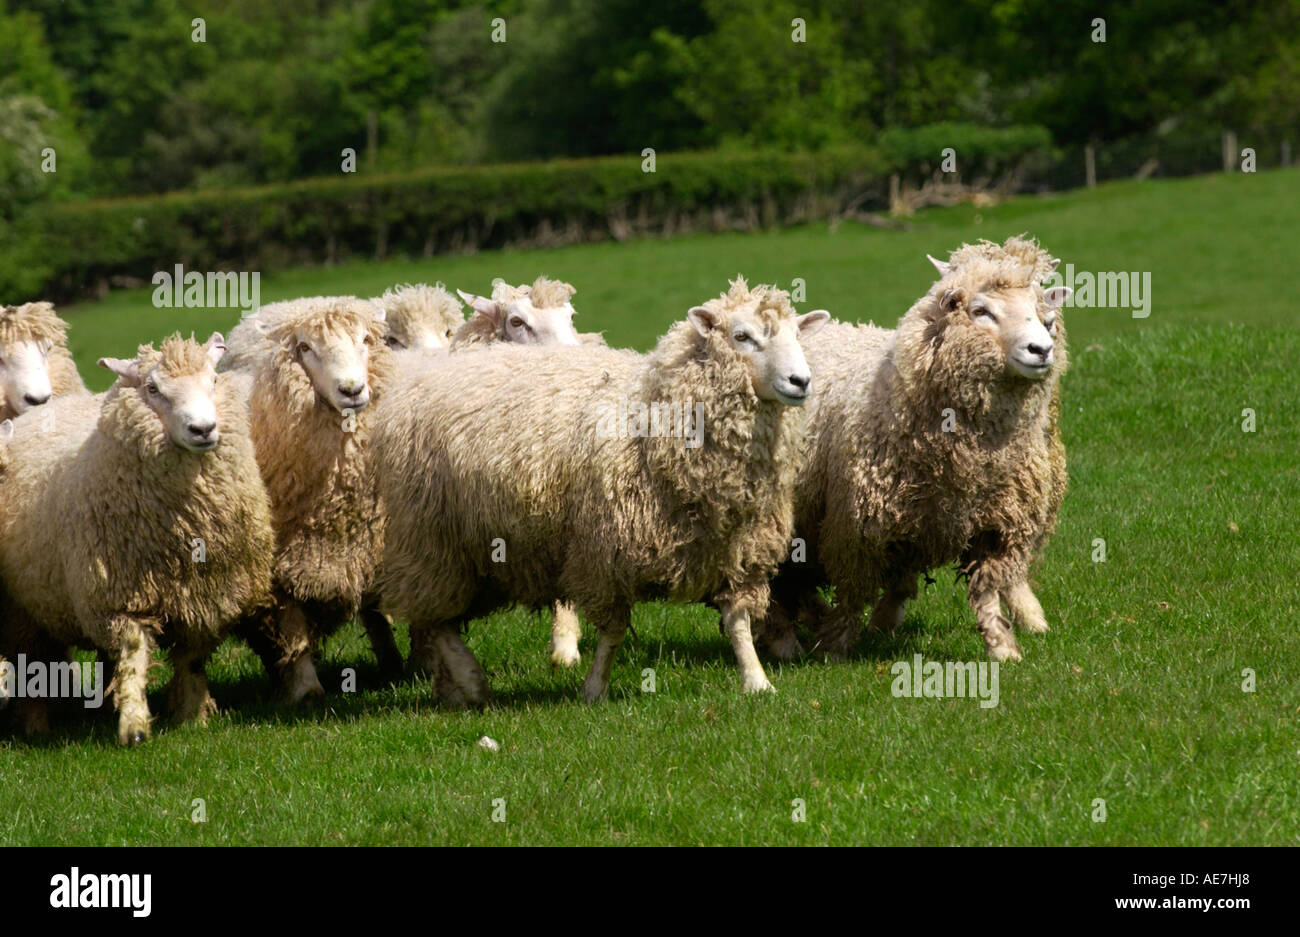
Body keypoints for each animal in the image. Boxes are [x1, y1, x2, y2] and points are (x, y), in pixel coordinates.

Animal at [0, 334, 274, 744]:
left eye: (213, 380)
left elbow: (192, 658)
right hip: (25, 609)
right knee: (34, 658)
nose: (203, 429)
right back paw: (36, 726)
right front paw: (134, 726)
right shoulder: (116, 598)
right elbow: (132, 651)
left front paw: (191, 715)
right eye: (153, 389)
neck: (183, 533)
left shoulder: (209, 597)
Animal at [231, 296, 398, 703]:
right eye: (305, 348)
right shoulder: (279, 568)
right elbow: (292, 629)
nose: (352, 390)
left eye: (366, 340)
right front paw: (306, 691)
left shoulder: (377, 541)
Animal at [375, 277, 828, 704]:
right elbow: (612, 633)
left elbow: (739, 622)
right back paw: (471, 683)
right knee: (435, 618)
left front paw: (757, 681)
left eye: (796, 335)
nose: (800, 381)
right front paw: (594, 689)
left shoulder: (738, 548)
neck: (657, 423)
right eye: (741, 336)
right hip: (431, 539)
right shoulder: (606, 552)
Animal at [766, 246, 1071, 663]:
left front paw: (1002, 647)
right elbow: (852, 594)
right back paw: (785, 639)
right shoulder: (857, 527)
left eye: (1043, 311)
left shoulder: (996, 522)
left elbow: (985, 589)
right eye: (981, 311)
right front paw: (836, 649)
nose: (1042, 349)